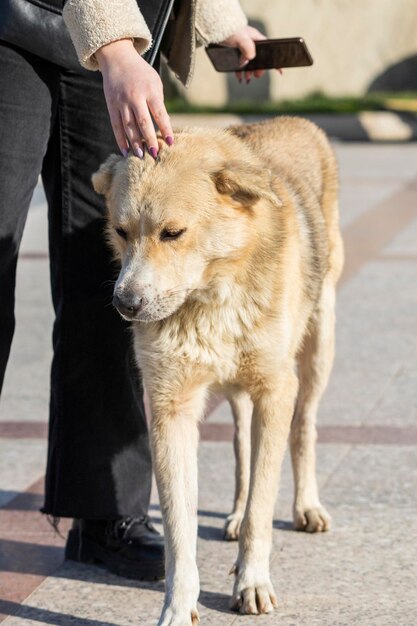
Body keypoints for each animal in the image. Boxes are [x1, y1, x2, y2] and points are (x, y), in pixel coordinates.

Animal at [92, 117, 342, 624]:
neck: (211, 297)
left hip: (317, 349)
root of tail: (299, 121)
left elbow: (263, 508)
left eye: (173, 233)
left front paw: (252, 583)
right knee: (243, 443)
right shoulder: (169, 405)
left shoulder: (275, 389)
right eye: (121, 231)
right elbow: (178, 527)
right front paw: (178, 604)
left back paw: (306, 505)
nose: (126, 305)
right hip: (238, 387)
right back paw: (235, 512)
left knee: (303, 427)